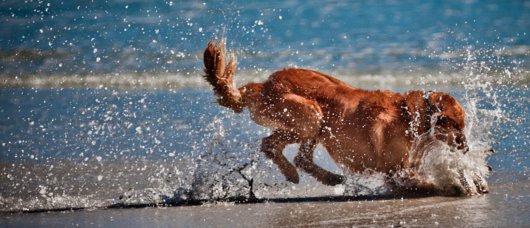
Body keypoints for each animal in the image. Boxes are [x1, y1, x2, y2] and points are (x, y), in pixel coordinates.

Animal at [201, 40, 486, 194]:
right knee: (272, 145)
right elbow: (422, 182)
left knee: (297, 156)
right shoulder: (396, 170)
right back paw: (295, 174)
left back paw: (328, 178)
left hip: (316, 125)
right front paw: (455, 186)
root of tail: (263, 85)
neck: (411, 117)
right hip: (311, 115)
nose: (466, 147)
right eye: (457, 125)